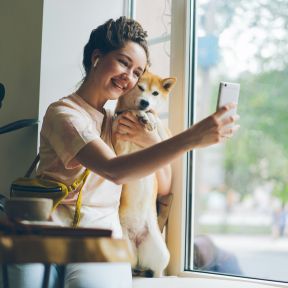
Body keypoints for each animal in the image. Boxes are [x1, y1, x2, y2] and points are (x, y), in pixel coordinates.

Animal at [112, 70, 176, 276]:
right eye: (139, 87)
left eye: (155, 93)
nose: (145, 103)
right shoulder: (120, 151)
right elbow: (127, 113)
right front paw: (140, 114)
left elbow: (156, 123)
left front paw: (150, 118)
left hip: (162, 253)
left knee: (156, 270)